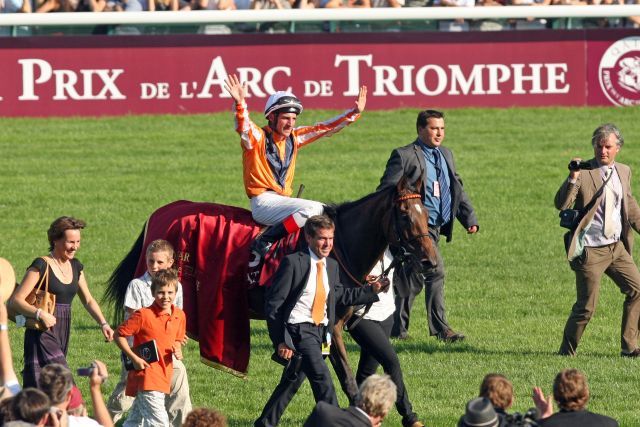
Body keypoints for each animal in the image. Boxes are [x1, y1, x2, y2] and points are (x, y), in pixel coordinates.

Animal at [104, 176, 436, 402]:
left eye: (426, 212)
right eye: (405, 214)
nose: (429, 260)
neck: (338, 246)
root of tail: (161, 212)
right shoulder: (333, 326)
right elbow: (348, 382)